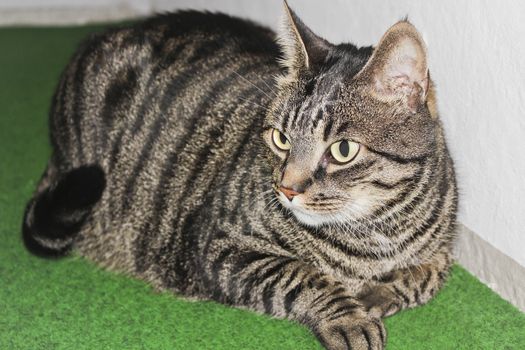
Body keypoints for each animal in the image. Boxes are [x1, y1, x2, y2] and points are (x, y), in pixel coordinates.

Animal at [21, 3, 454, 350]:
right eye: (280, 138)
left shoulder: (443, 252)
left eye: (342, 150)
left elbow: (426, 277)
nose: (286, 189)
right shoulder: (218, 244)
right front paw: (350, 316)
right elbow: (304, 275)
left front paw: (376, 294)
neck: (379, 233)